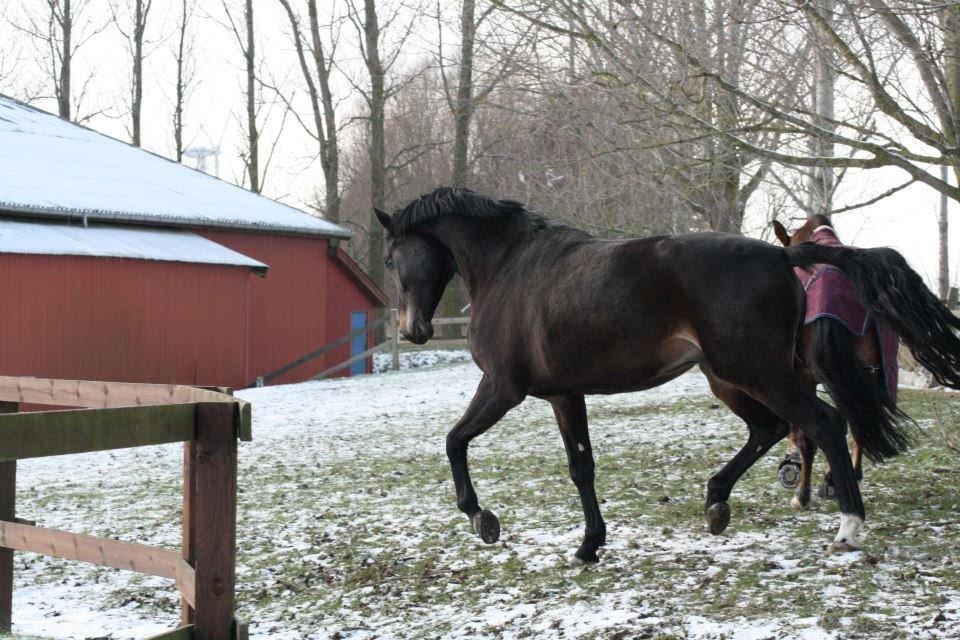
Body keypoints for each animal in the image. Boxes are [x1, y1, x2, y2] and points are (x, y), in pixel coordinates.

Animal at [374, 188, 960, 564]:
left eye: (390, 258)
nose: (413, 329)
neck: (510, 268)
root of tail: (784, 255)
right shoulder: (565, 394)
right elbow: (581, 468)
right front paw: (589, 545)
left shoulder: (502, 388)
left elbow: (454, 441)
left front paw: (481, 517)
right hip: (731, 377)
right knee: (772, 429)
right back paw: (716, 503)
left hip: (755, 370)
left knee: (822, 423)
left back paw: (847, 528)